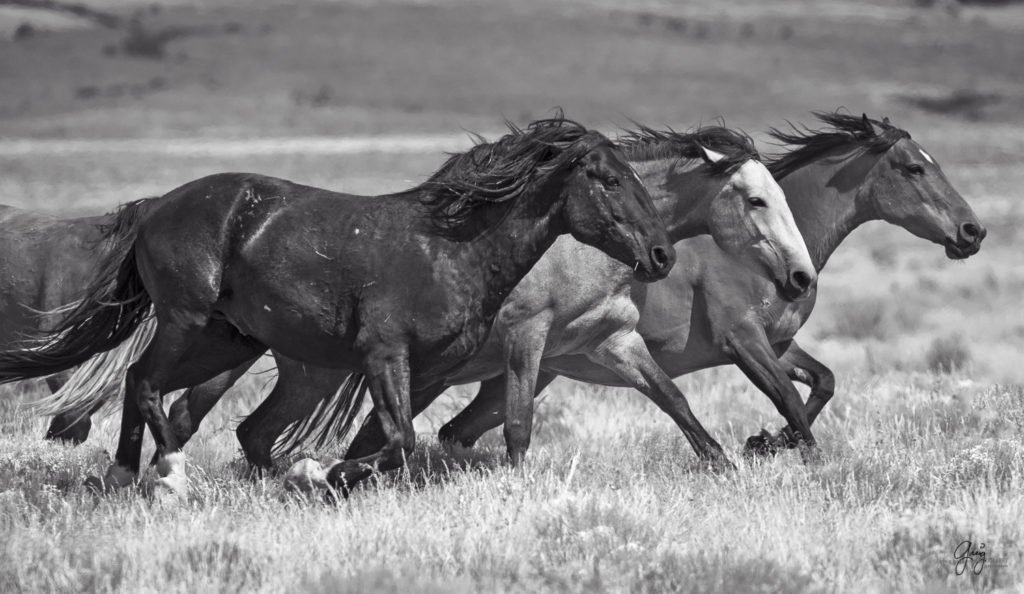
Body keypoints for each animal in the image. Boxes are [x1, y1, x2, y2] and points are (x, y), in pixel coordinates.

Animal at [0, 117, 675, 495]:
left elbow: (385, 442)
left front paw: (317, 480)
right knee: (146, 382)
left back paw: (127, 477)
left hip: (227, 338)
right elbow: (398, 441)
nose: (662, 255)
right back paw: (170, 476)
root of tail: (158, 205)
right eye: (609, 179)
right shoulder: (383, 355)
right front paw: (315, 475)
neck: (450, 248)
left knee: (161, 392)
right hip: (186, 321)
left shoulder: (426, 369)